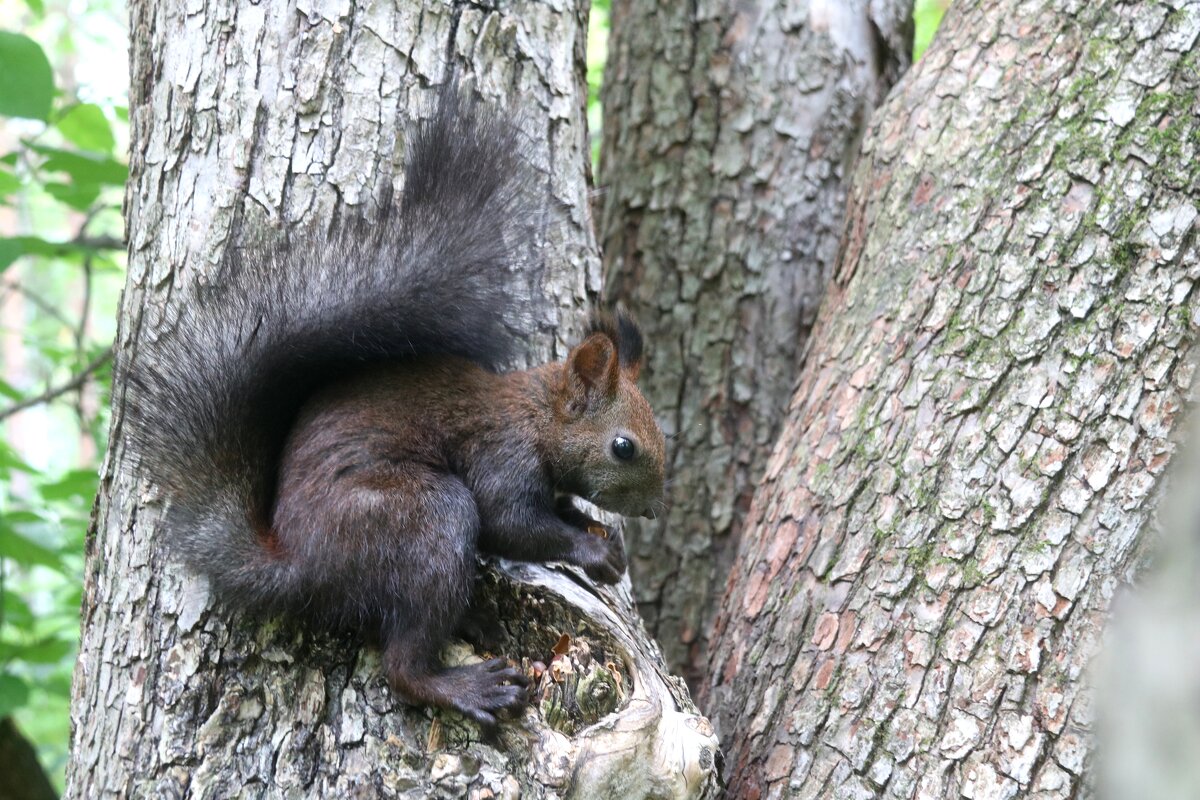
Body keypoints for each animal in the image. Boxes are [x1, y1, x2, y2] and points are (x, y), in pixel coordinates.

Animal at [126, 86, 672, 724]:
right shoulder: (500, 456)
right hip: (419, 518)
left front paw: (600, 535)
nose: (654, 510)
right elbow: (512, 524)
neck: (537, 417)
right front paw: (591, 548)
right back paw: (468, 686)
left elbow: (556, 512)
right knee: (404, 666)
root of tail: (299, 562)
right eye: (623, 446)